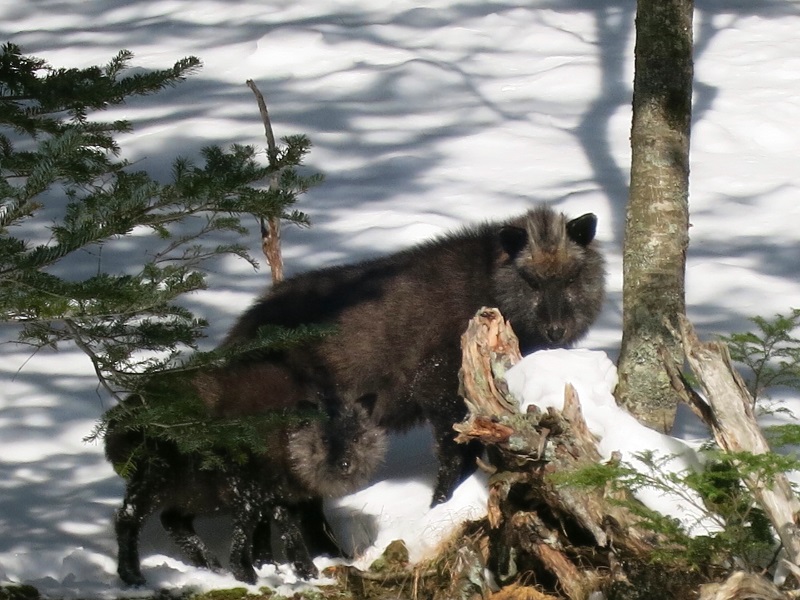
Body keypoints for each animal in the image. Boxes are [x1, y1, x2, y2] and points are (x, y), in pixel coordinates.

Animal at [104, 370, 386, 584]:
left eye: (357, 438)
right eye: (325, 439)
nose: (345, 464)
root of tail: (116, 421)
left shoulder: (283, 496)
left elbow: (296, 529)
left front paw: (317, 563)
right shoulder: (248, 489)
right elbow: (250, 529)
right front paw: (247, 573)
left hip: (196, 492)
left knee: (172, 520)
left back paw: (211, 566)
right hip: (160, 480)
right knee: (127, 517)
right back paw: (132, 575)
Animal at [219, 204, 608, 504]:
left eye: (571, 279)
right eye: (531, 282)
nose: (556, 330)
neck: (489, 284)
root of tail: (236, 334)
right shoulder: (437, 387)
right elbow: (454, 458)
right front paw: (440, 504)